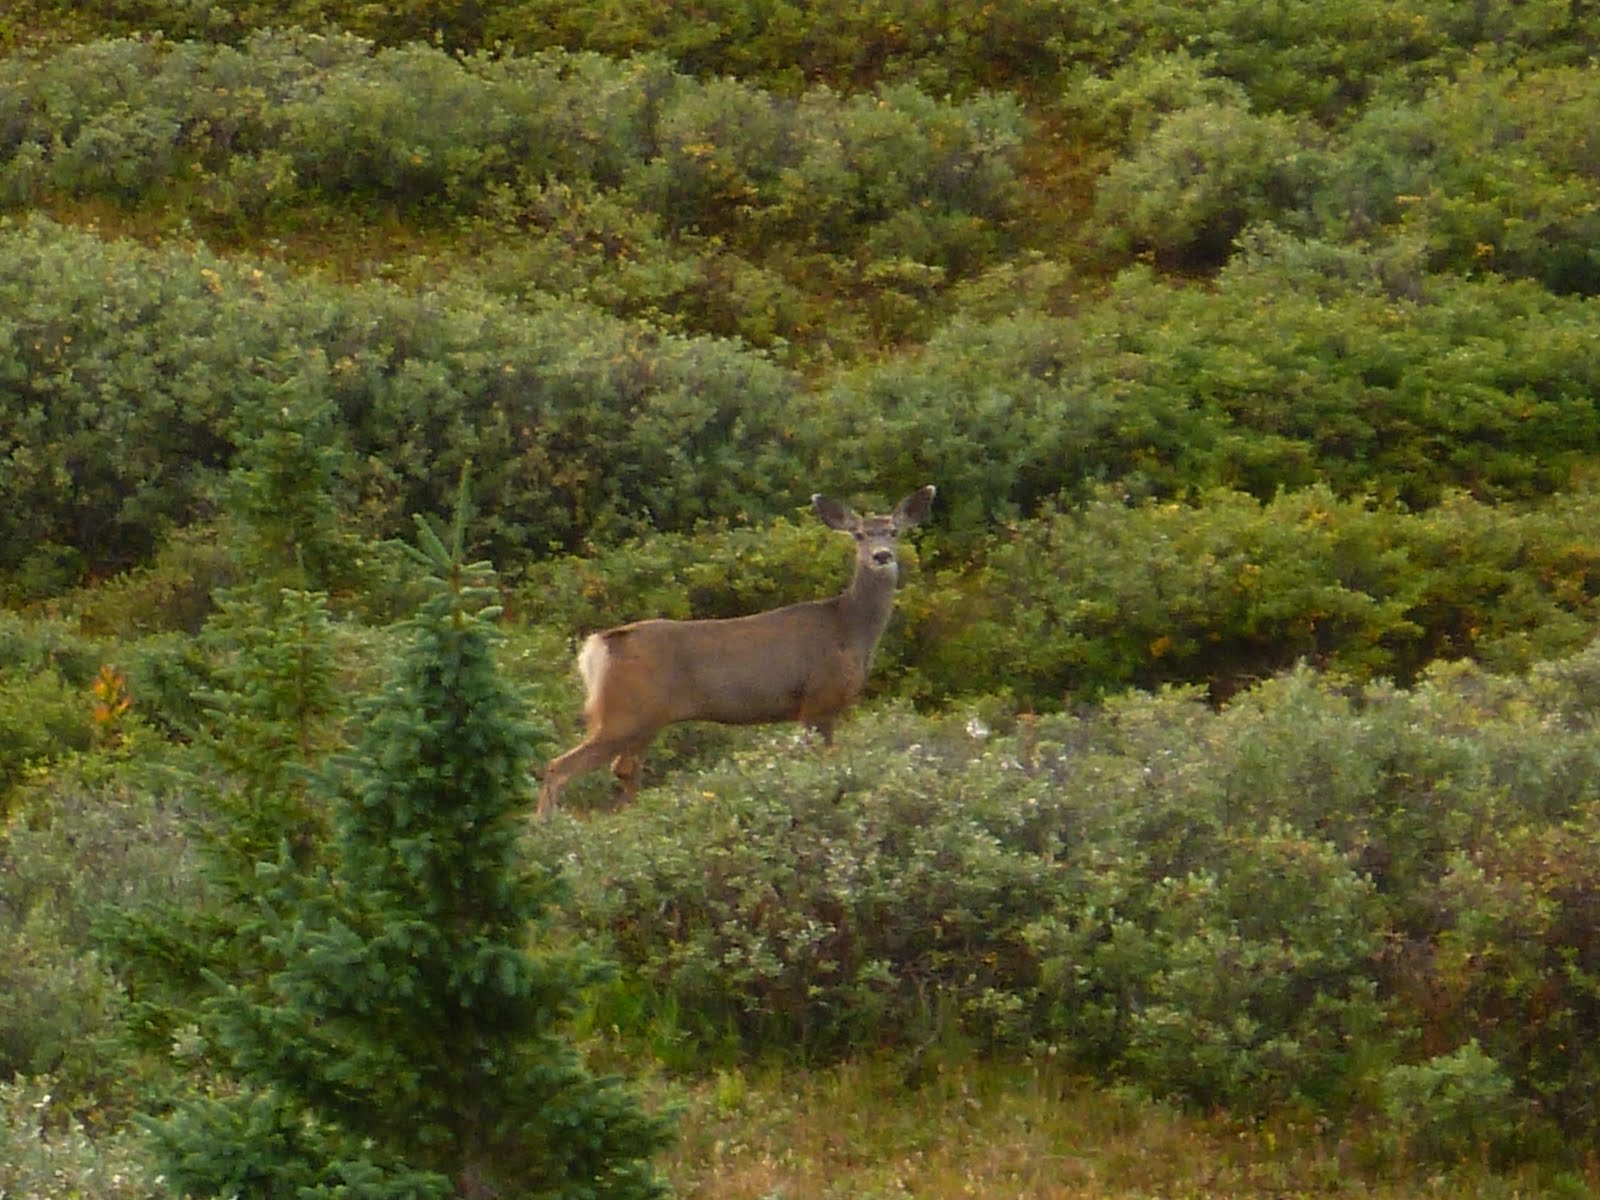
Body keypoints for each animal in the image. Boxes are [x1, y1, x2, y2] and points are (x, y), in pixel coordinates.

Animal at [537, 485, 936, 818]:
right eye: (859, 534)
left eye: (894, 531)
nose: (881, 556)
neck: (849, 630)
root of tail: (600, 645)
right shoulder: (818, 700)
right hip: (624, 713)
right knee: (560, 767)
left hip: (645, 719)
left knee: (622, 769)